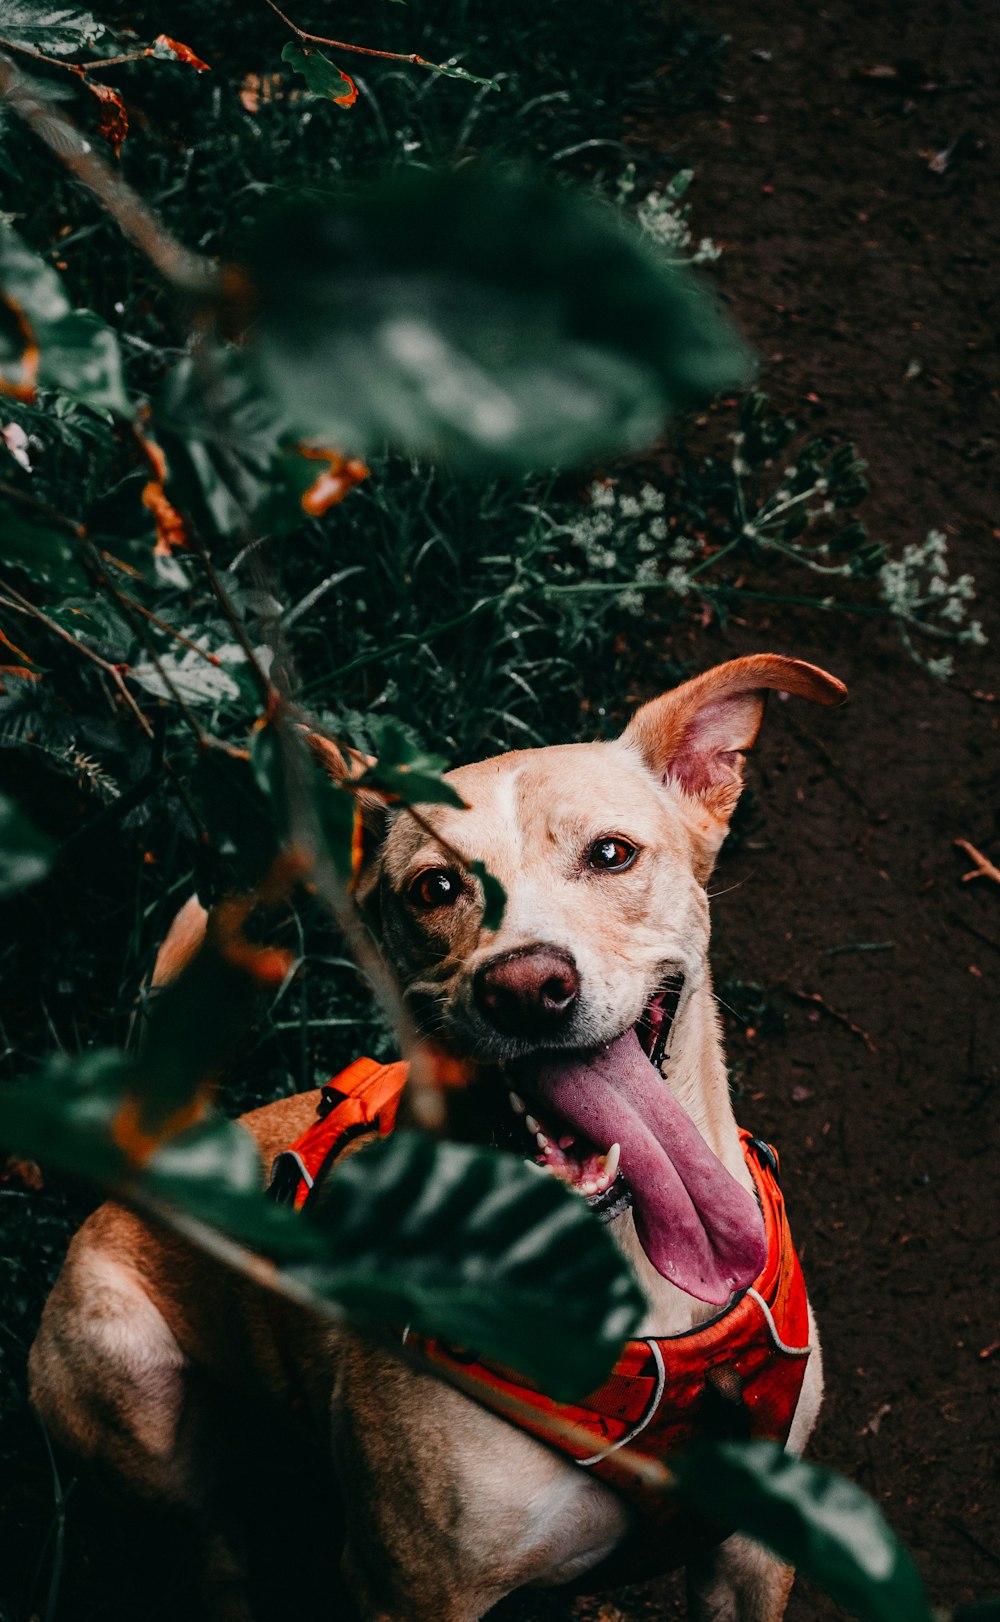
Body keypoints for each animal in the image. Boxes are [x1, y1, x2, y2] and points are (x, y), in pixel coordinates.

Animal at [29, 655, 842, 1622]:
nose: (526, 987)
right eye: (435, 888)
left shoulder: (755, 1552)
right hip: (137, 1400)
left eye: (611, 853)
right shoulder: (410, 1589)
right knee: (210, 1537)